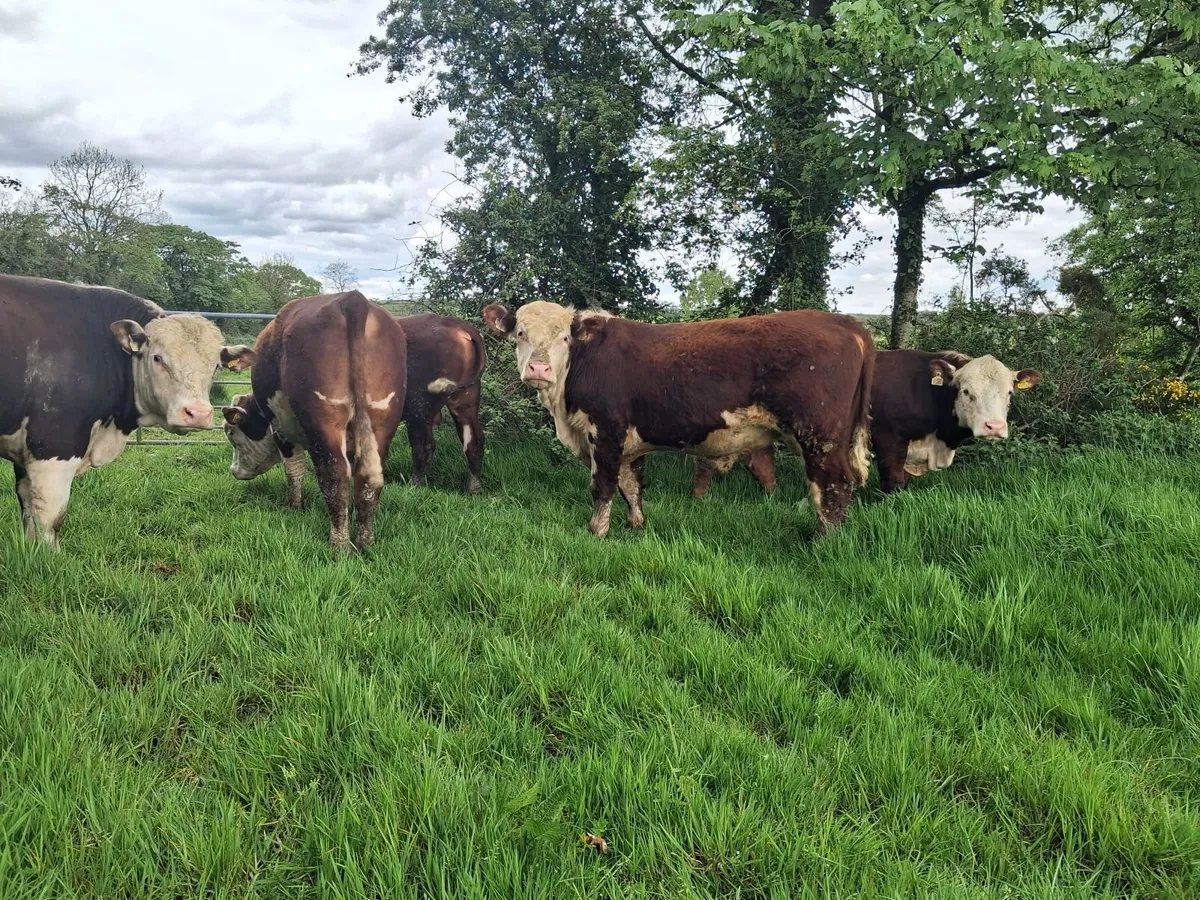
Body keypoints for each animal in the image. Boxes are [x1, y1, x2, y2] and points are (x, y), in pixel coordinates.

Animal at [0, 274, 252, 547]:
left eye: (215, 366)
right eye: (157, 358)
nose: (197, 413)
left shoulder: (25, 454)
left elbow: (29, 517)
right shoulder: (53, 449)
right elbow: (49, 523)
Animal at [220, 292, 407, 551]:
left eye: (231, 433)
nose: (234, 470)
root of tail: (353, 299)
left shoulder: (282, 430)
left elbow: (294, 470)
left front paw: (294, 507)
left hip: (324, 422)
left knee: (334, 476)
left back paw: (340, 546)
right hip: (382, 422)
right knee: (367, 480)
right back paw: (364, 543)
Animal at [395, 314, 486, 494]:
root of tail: (454, 323)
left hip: (419, 407)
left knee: (423, 445)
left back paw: (414, 485)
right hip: (465, 402)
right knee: (474, 441)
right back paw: (473, 488)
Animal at [482, 301, 875, 535]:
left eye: (564, 337)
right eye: (520, 334)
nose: (539, 369)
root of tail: (846, 323)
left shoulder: (606, 432)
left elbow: (603, 485)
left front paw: (597, 531)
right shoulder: (629, 442)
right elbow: (631, 484)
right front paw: (635, 524)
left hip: (820, 435)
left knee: (833, 485)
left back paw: (826, 540)